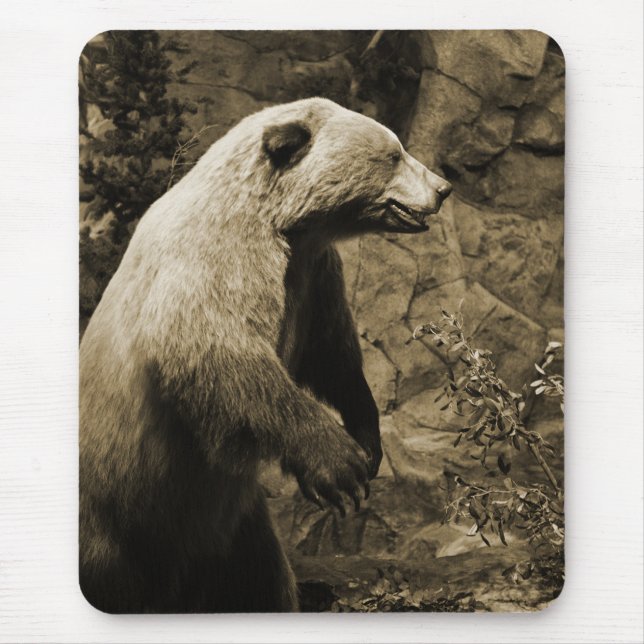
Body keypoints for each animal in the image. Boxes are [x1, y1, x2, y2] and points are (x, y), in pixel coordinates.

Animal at [79, 97, 452, 613]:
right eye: (394, 154)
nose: (443, 188)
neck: (285, 223)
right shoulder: (216, 257)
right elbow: (221, 350)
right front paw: (340, 466)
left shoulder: (313, 275)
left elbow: (331, 353)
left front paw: (367, 440)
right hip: (116, 517)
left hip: (232, 529)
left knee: (257, 581)